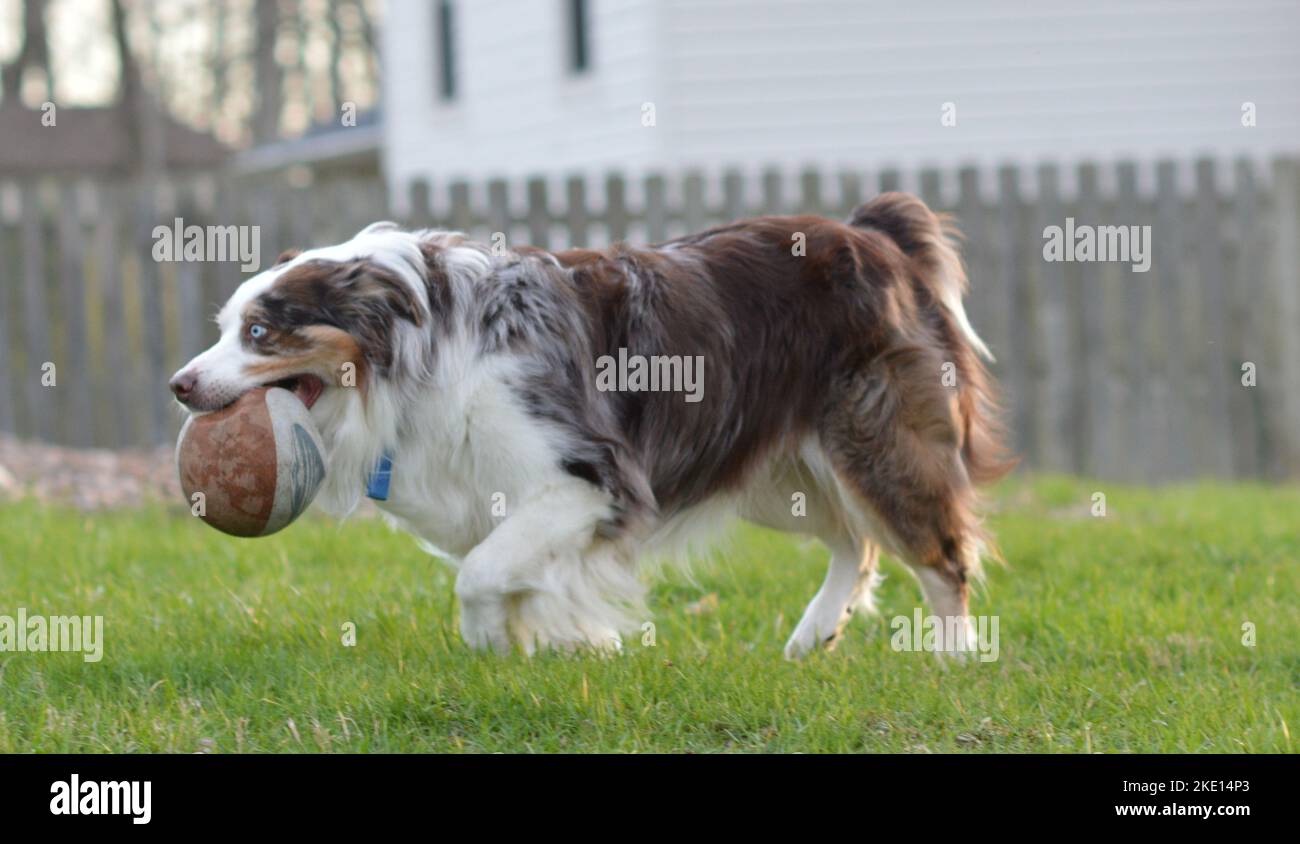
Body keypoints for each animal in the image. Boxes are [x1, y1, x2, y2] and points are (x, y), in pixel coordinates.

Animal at [167, 192, 1008, 658]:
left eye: (261, 334)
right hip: (773, 470)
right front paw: (551, 643)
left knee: (939, 552)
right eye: (223, 327)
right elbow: (515, 574)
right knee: (856, 543)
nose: (179, 385)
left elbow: (481, 573)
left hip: (872, 440)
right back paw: (813, 636)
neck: (418, 345)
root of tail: (875, 233)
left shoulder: (593, 479)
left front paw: (495, 644)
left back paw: (953, 660)